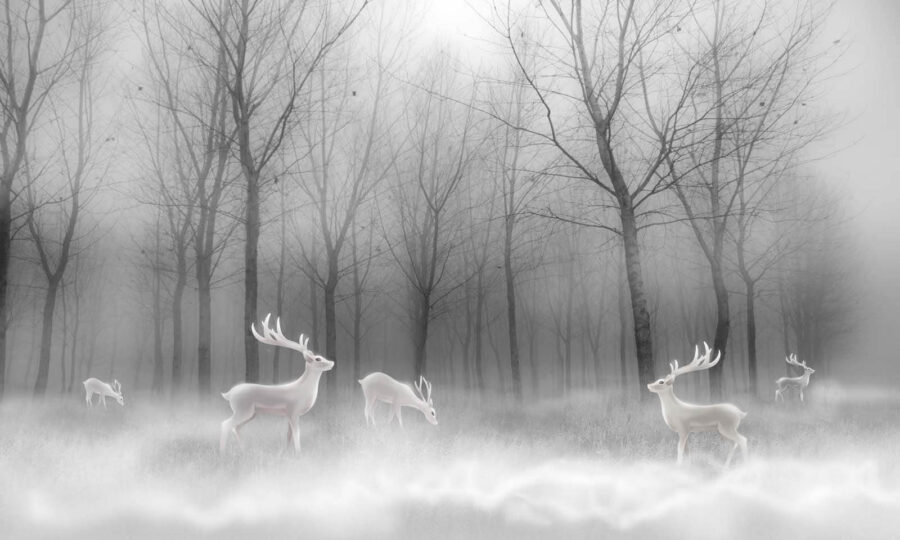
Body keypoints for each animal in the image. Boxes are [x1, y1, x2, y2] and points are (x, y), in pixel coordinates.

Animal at [219, 314, 334, 454]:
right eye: (318, 359)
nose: (332, 362)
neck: (303, 391)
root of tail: (229, 394)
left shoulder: (291, 414)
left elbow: (289, 435)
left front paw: (285, 453)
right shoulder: (293, 411)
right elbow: (296, 434)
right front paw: (299, 454)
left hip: (251, 413)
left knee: (237, 427)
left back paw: (244, 451)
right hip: (242, 409)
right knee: (225, 424)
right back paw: (222, 453)